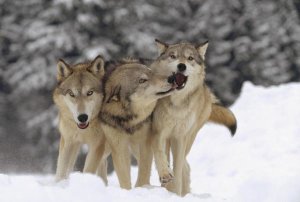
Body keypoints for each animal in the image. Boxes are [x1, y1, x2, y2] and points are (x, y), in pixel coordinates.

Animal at [53, 54, 108, 183]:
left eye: (90, 92)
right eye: (72, 94)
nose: (82, 117)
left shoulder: (97, 145)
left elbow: (88, 170)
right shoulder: (68, 142)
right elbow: (61, 170)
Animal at [99, 58, 177, 189]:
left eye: (151, 72)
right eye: (142, 80)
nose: (172, 78)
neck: (129, 121)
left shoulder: (145, 140)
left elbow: (145, 169)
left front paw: (143, 187)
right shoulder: (119, 146)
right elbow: (124, 177)